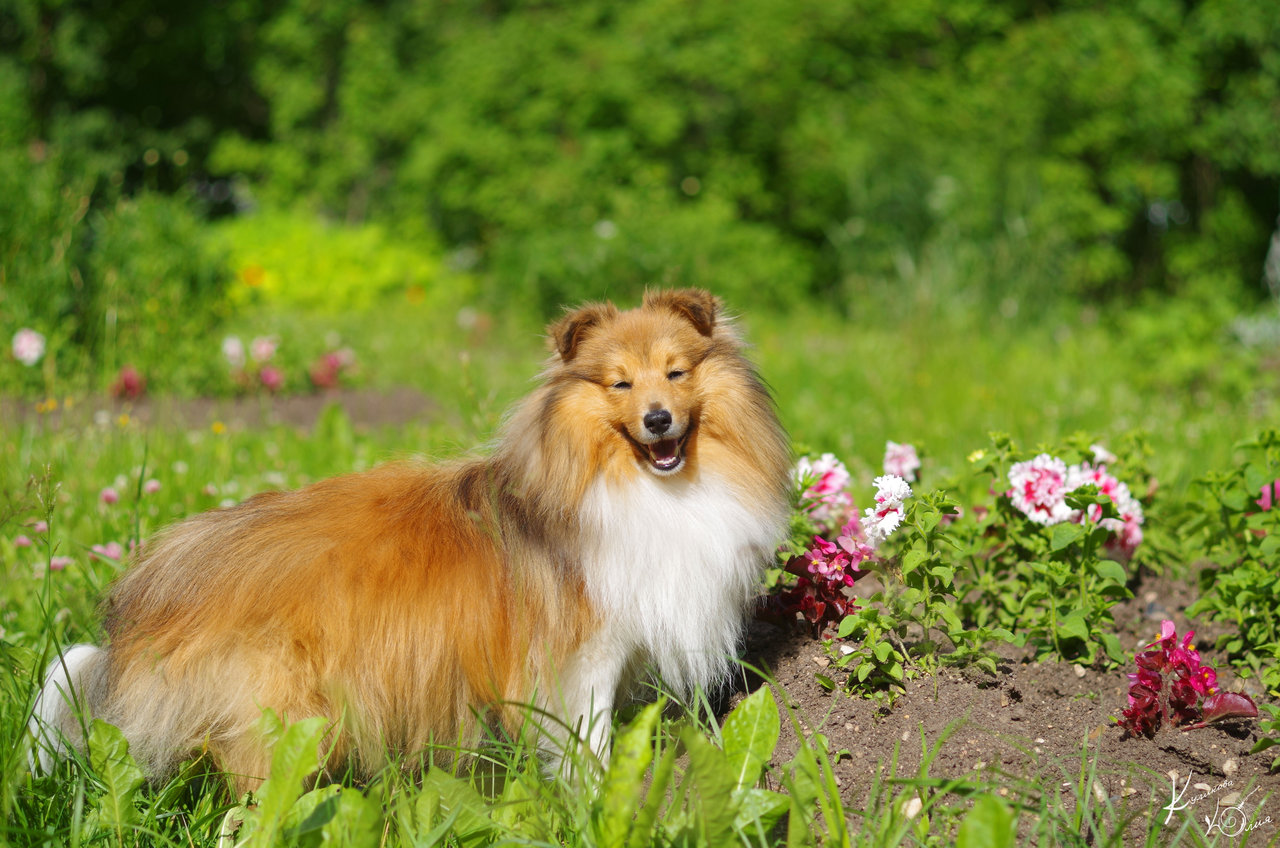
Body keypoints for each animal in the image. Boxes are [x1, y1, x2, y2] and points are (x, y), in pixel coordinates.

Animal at [30, 289, 788, 794]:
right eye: (619, 383)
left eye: (677, 371)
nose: (658, 420)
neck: (641, 484)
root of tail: (146, 583)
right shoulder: (583, 659)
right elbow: (589, 745)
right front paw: (596, 802)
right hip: (279, 714)